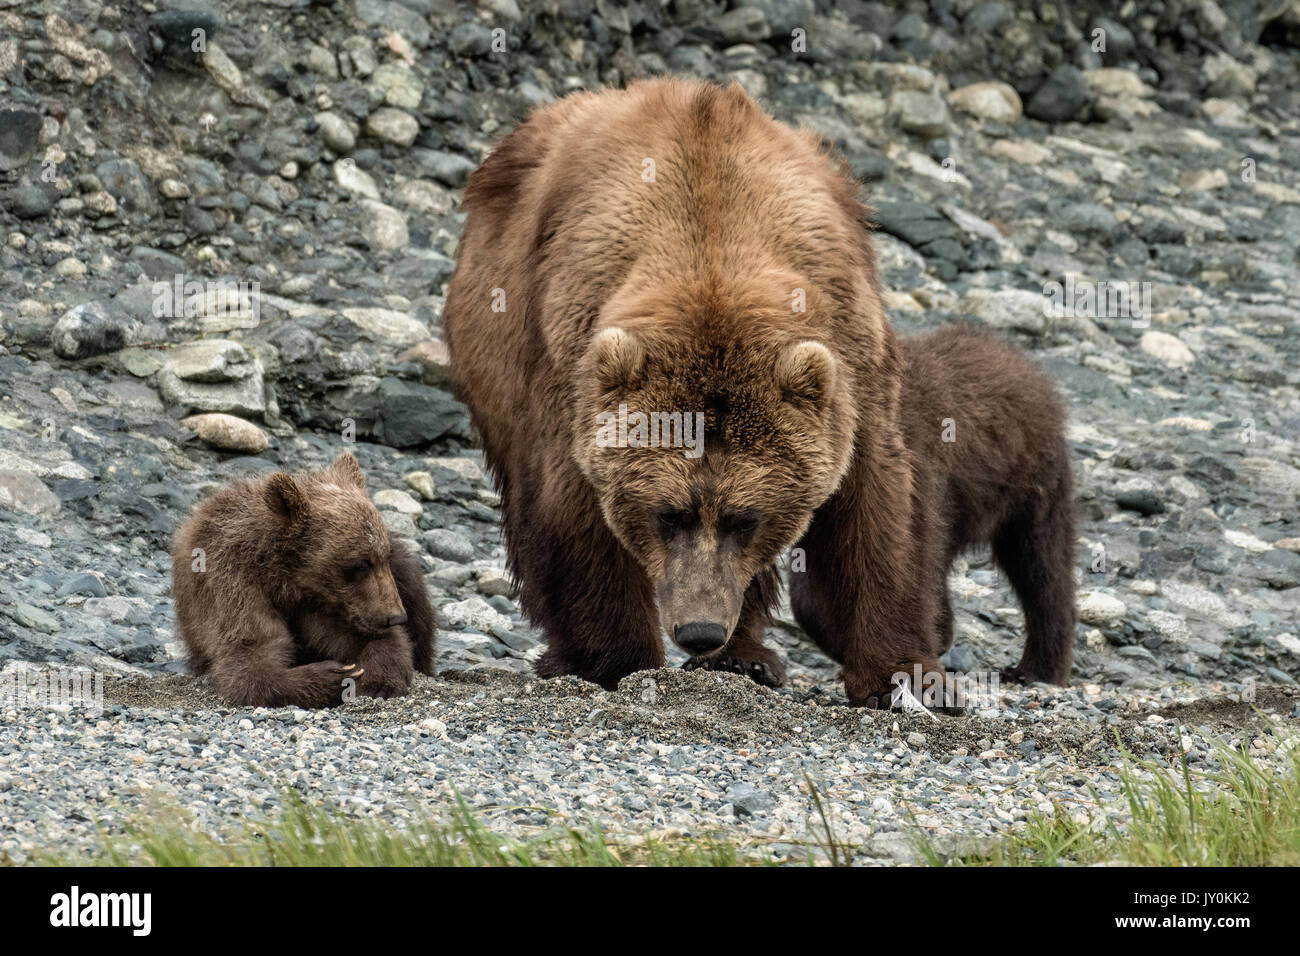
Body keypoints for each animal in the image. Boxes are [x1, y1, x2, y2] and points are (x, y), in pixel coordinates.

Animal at [171, 451, 436, 708]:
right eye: (360, 564)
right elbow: (251, 655)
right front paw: (334, 676)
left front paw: (376, 680)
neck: (289, 581)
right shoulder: (232, 584)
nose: (396, 617)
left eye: (383, 557)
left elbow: (376, 640)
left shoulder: (342, 604)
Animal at [443, 78, 1075, 708]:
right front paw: (613, 659)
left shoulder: (852, 362)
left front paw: (906, 673)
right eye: (666, 514)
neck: (711, 242)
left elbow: (876, 512)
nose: (700, 630)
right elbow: (574, 514)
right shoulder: (571, 367)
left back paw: (745, 657)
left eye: (745, 518)